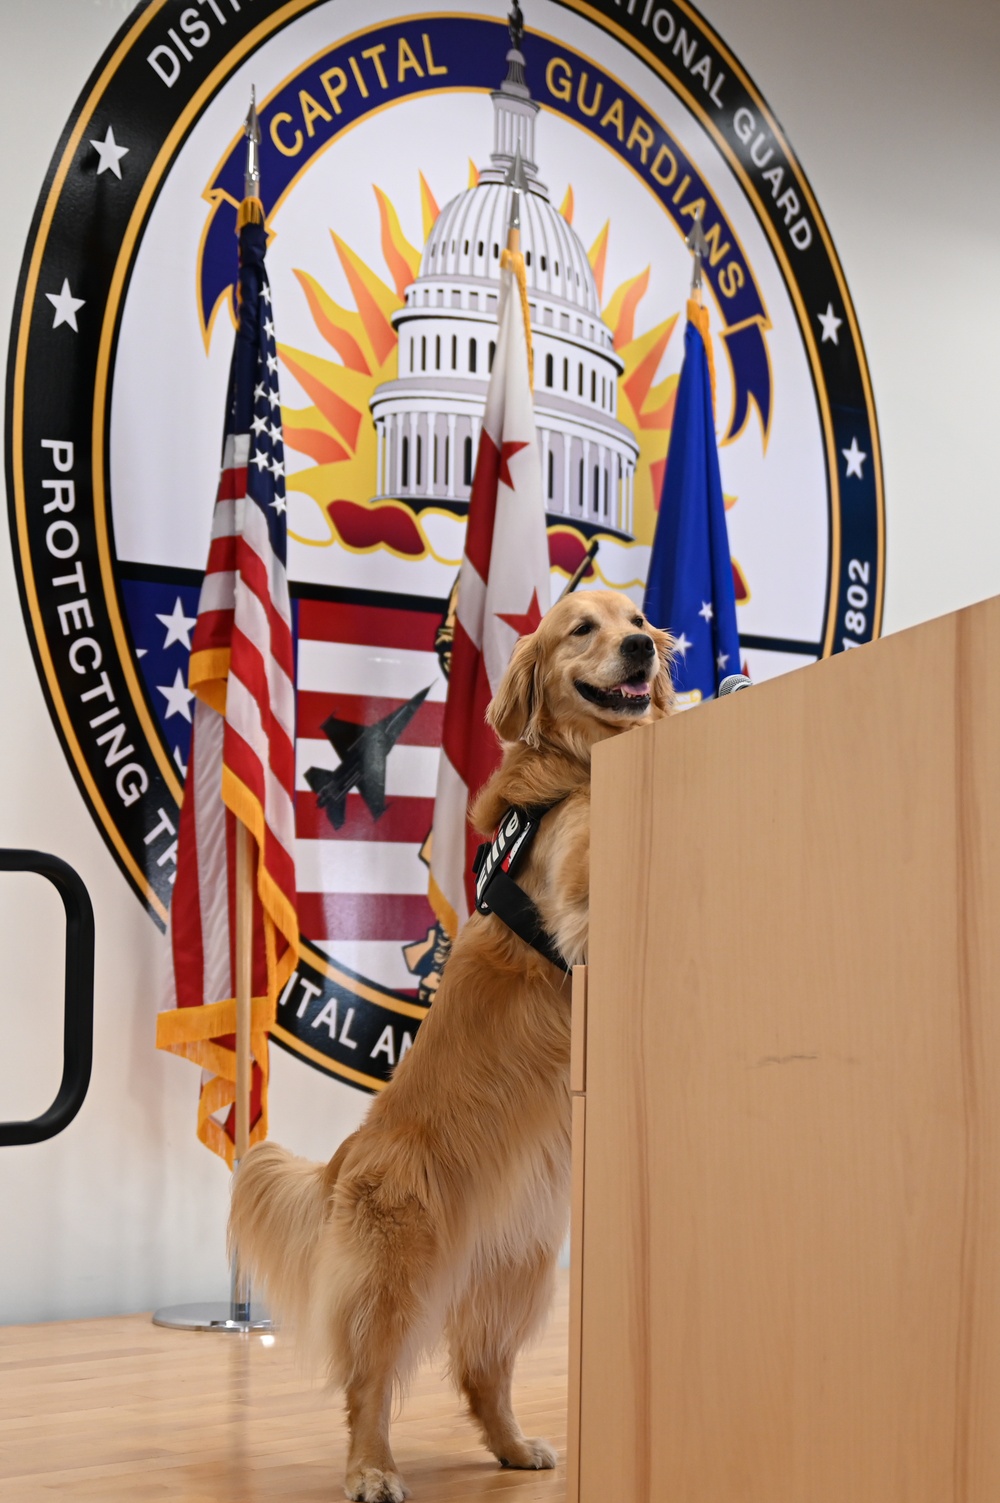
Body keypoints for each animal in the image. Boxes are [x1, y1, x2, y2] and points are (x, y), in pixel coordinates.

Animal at [230, 589, 673, 1503]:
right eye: (583, 628)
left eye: (638, 617)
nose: (645, 649)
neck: (573, 769)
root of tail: (346, 1159)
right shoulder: (575, 888)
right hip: (399, 1268)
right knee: (367, 1381)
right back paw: (371, 1468)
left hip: (521, 1273)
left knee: (481, 1370)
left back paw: (513, 1447)